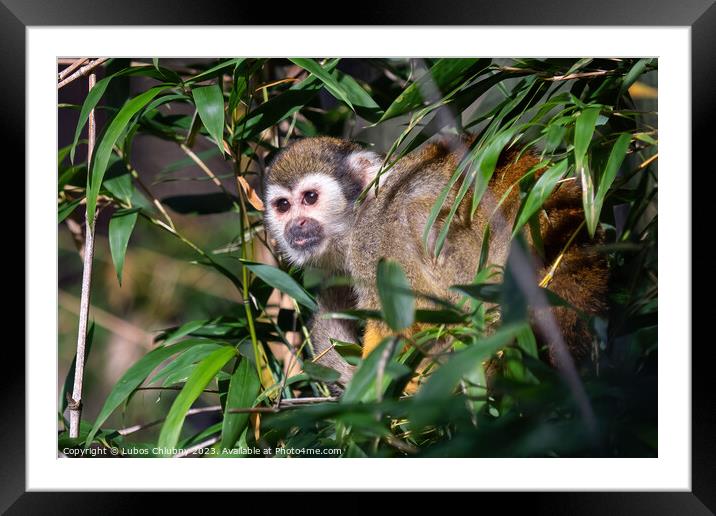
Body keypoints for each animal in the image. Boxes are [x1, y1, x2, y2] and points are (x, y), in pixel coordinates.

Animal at [262, 136, 608, 392]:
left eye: (310, 198)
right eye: (283, 206)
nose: (295, 226)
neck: (355, 219)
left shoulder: (374, 240)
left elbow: (411, 316)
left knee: (417, 217)